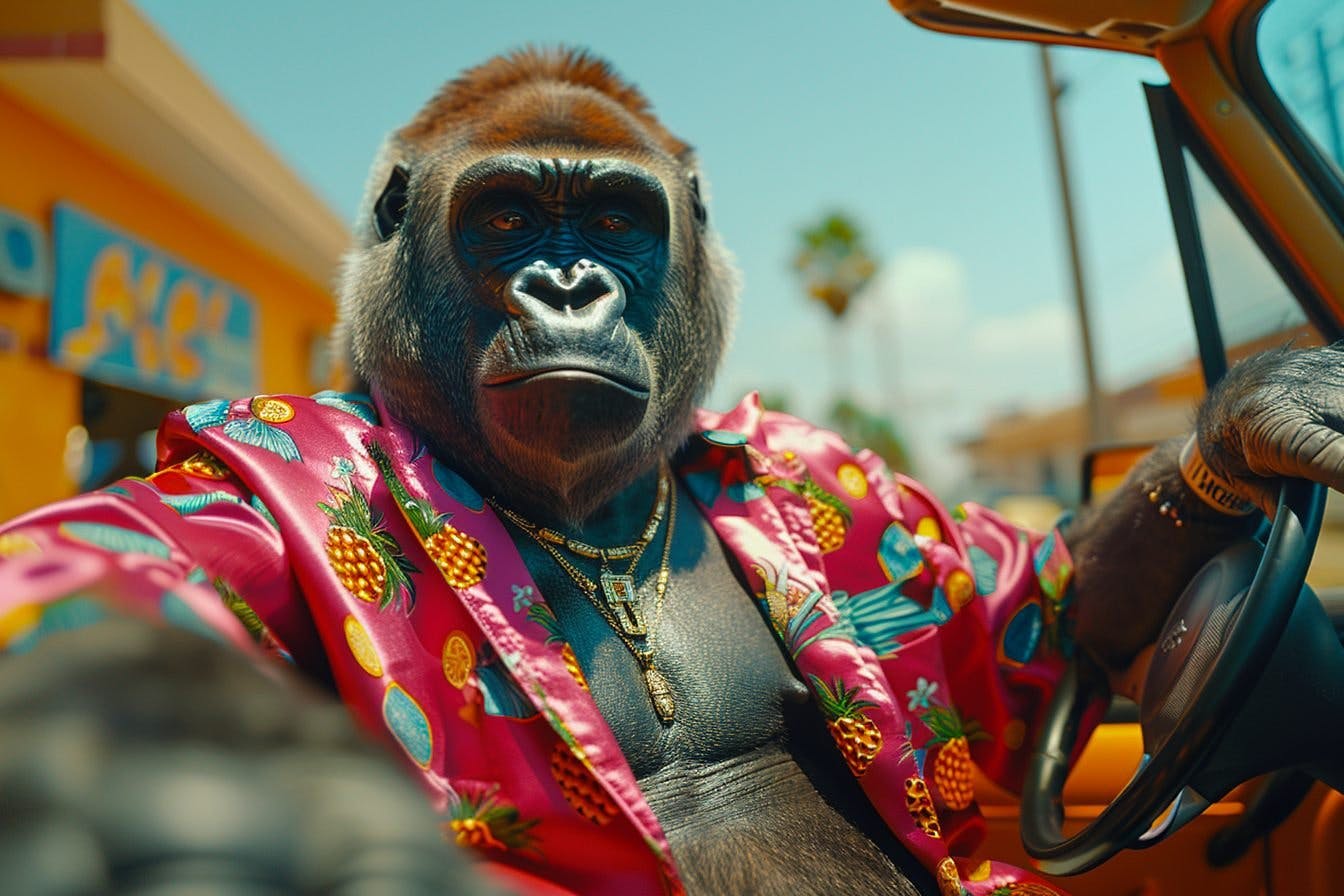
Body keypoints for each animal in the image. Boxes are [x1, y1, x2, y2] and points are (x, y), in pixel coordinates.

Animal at [4, 46, 1344, 896]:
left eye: (613, 221)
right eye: (504, 218)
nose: (567, 287)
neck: (590, 515)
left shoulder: (838, 480)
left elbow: (1036, 607)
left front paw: (1257, 421)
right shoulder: (243, 454)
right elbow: (120, 557)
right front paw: (151, 748)